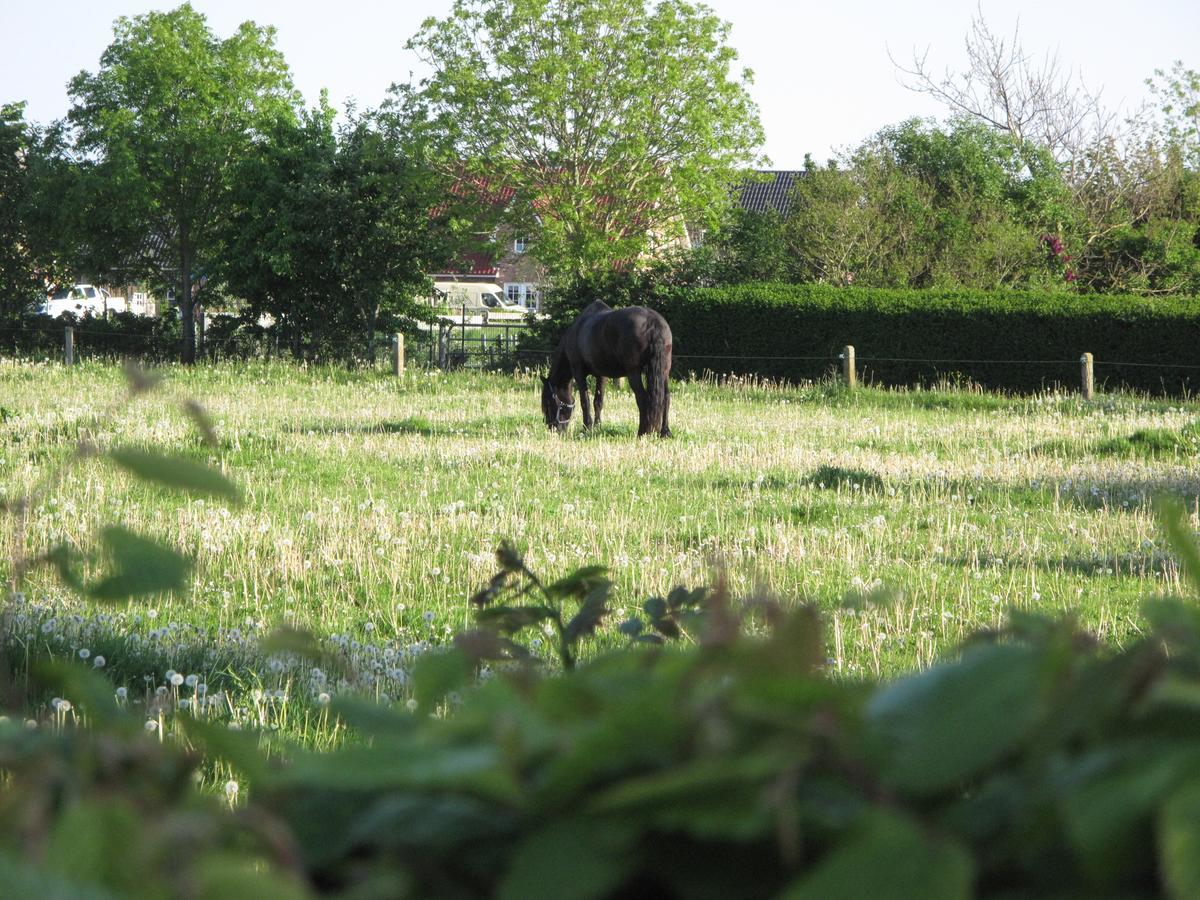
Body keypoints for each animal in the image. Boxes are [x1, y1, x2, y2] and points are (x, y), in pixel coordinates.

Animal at [542, 301, 672, 439]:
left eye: (548, 404)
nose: (552, 429)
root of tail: (653, 322)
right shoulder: (602, 375)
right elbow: (598, 401)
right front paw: (597, 426)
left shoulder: (579, 372)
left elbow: (585, 401)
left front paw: (587, 428)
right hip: (664, 372)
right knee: (666, 397)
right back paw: (665, 432)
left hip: (634, 373)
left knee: (643, 398)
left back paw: (642, 432)